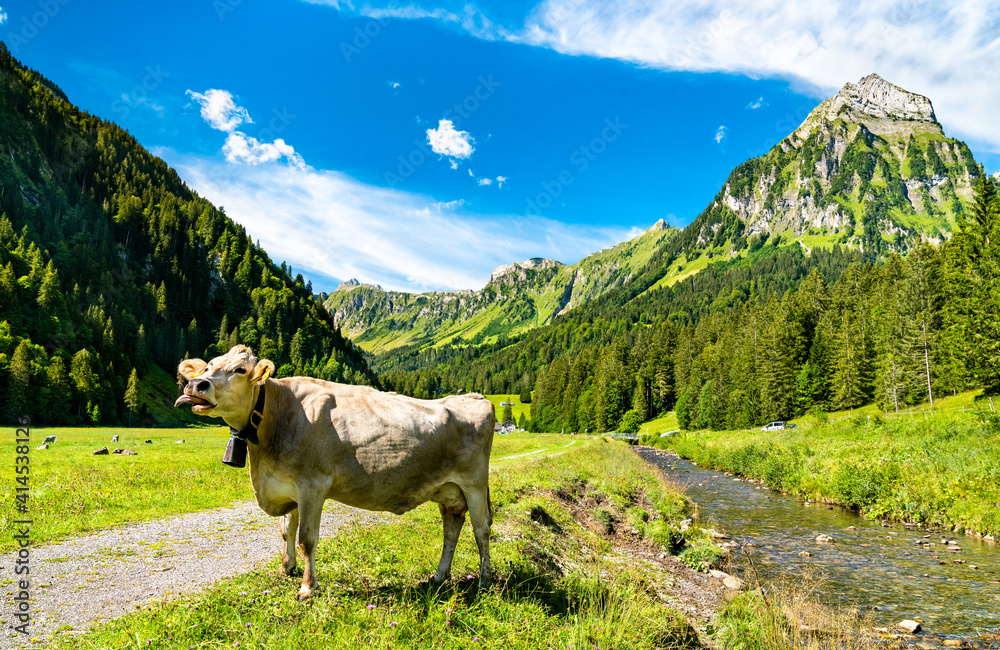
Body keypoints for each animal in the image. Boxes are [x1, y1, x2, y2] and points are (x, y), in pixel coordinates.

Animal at [178, 344, 498, 596]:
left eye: (240, 370)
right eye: (208, 366)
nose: (196, 385)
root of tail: (473, 397)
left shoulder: (312, 485)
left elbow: (306, 538)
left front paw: (307, 588)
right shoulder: (288, 487)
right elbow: (286, 531)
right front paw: (286, 568)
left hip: (474, 483)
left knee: (481, 528)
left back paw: (484, 580)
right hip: (448, 490)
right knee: (451, 528)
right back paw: (439, 576)